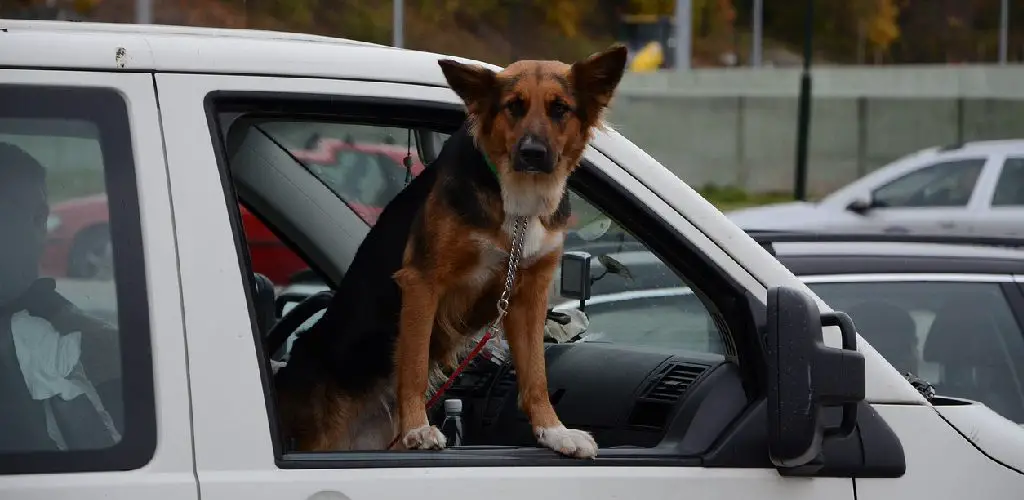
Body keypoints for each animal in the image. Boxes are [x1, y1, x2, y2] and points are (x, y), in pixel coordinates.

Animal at [272, 44, 626, 459]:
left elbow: (536, 373)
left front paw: (554, 432)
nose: (533, 153)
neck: (517, 200)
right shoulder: (422, 282)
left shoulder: (527, 296)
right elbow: (412, 366)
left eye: (560, 109)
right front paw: (418, 428)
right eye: (514, 106)